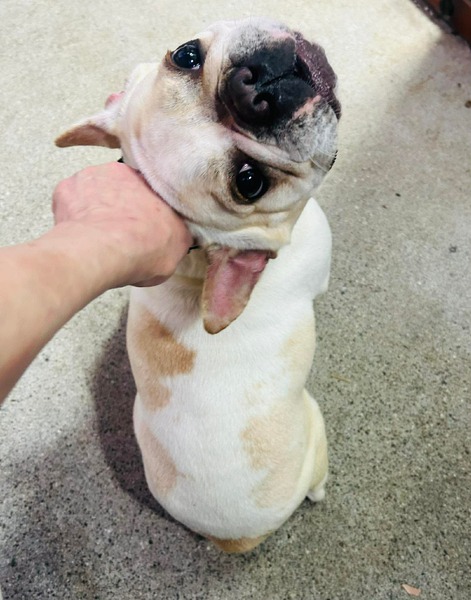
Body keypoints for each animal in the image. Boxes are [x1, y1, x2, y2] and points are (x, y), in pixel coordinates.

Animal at [56, 17, 340, 553]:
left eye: (185, 55)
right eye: (249, 182)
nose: (253, 90)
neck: (200, 264)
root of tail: (231, 540)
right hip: (314, 427)